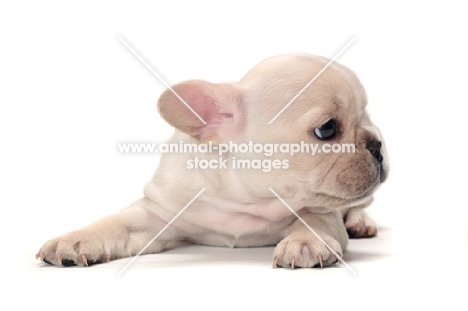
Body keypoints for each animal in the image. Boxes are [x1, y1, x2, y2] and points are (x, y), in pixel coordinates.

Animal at [35, 53, 388, 268]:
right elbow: (116, 223)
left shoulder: (322, 210)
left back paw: (361, 221)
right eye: (326, 129)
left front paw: (305, 241)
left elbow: (315, 219)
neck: (244, 200)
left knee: (359, 205)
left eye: (366, 115)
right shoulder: (158, 212)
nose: (378, 142)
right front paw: (75, 238)